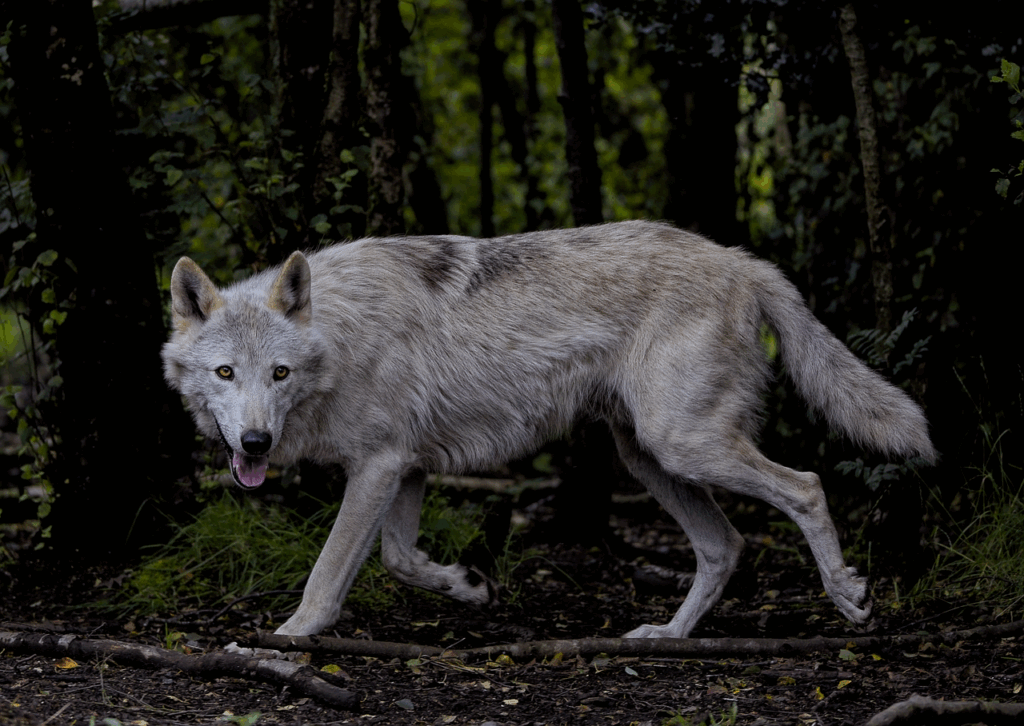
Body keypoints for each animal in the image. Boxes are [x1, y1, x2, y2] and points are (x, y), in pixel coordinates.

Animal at [162, 220, 935, 639]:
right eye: (226, 374)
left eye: (280, 374)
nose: (255, 445)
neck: (339, 337)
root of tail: (743, 261)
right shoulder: (404, 467)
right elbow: (402, 560)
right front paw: (470, 585)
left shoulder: (379, 466)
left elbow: (327, 574)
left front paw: (290, 636)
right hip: (651, 458)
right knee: (726, 545)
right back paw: (667, 635)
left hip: (685, 446)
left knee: (805, 486)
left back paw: (848, 596)